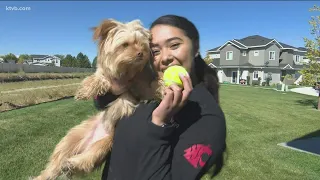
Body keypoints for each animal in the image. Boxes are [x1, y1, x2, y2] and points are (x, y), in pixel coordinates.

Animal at [33, 19, 162, 179]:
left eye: (143, 45)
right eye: (125, 44)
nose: (141, 53)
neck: (126, 71)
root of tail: (88, 143)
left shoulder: (141, 84)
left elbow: (150, 87)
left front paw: (163, 88)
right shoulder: (107, 76)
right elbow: (100, 78)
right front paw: (85, 90)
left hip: (104, 145)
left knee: (86, 160)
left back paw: (72, 164)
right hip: (71, 139)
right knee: (54, 165)